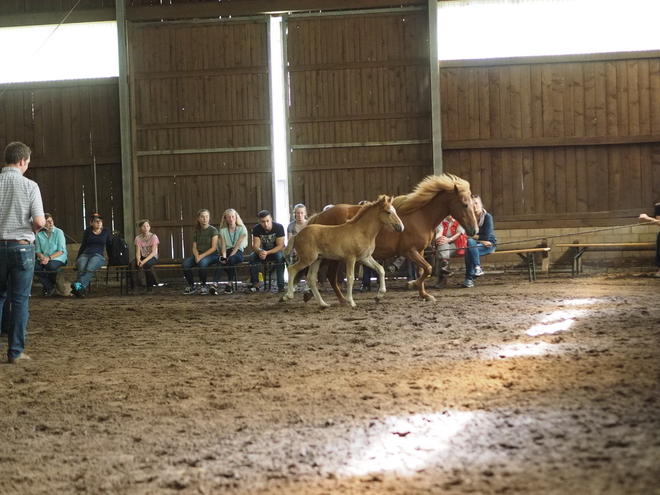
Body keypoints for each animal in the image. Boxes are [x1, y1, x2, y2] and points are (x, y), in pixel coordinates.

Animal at [304, 176, 480, 304]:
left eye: (472, 204)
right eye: (464, 204)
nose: (474, 230)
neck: (420, 216)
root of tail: (319, 216)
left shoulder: (420, 251)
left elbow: (423, 270)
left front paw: (424, 295)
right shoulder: (409, 251)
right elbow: (428, 268)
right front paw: (411, 284)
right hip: (331, 257)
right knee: (328, 275)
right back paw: (339, 299)